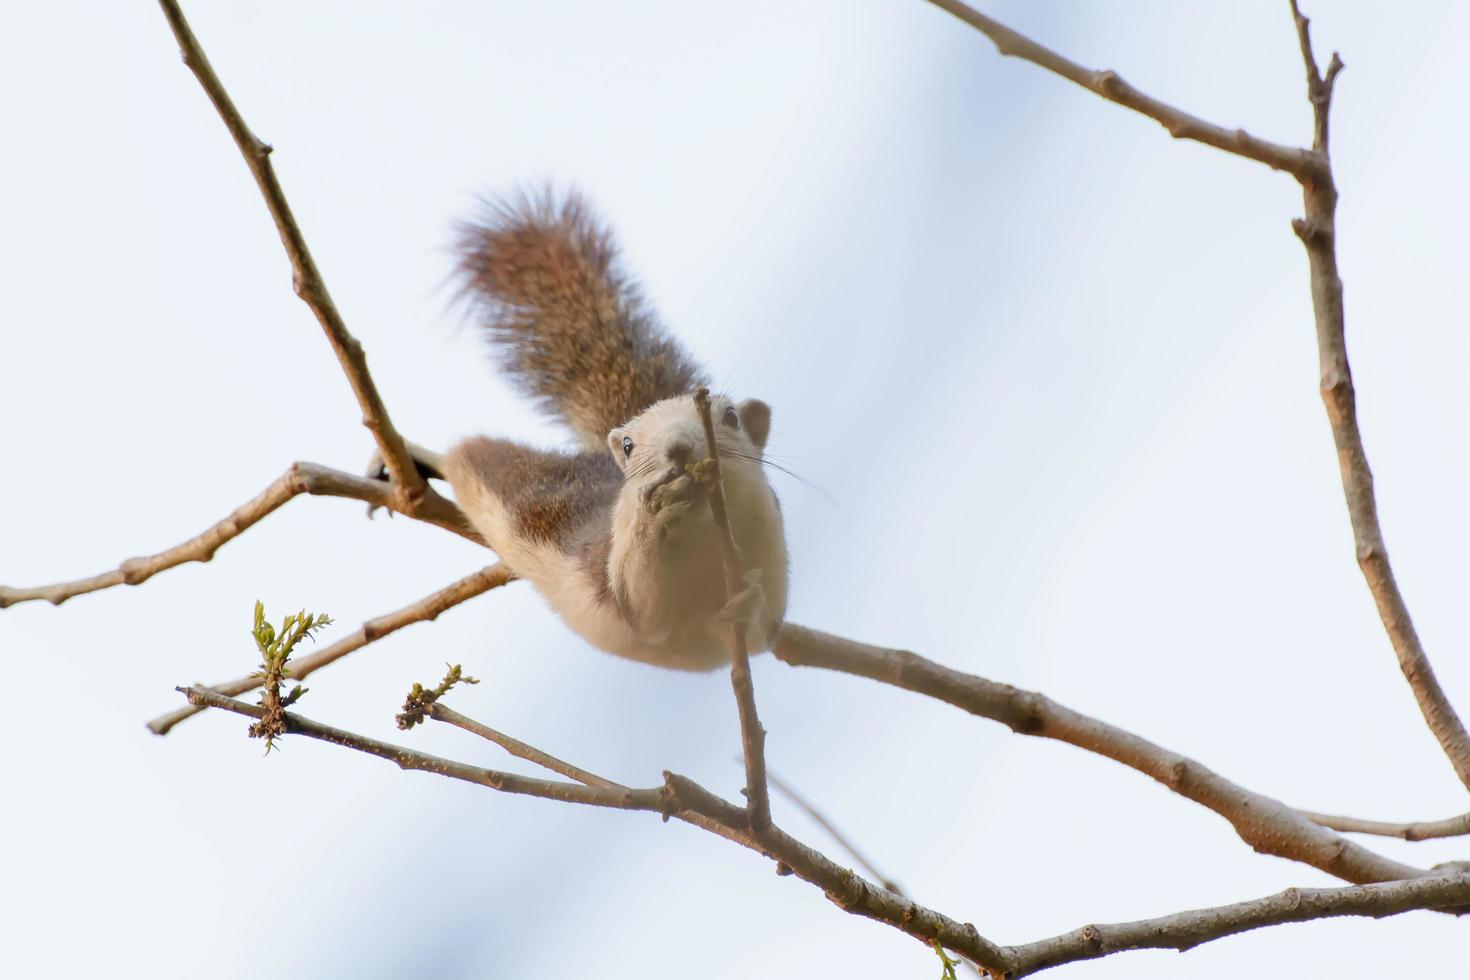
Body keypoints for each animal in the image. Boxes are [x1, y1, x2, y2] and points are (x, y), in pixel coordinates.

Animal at [385, 189, 787, 669]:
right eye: (630, 445)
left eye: (731, 418)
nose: (678, 450)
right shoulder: (615, 568)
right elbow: (643, 612)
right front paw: (653, 516)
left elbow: (763, 631)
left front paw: (750, 600)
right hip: (515, 481)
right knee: (470, 453)